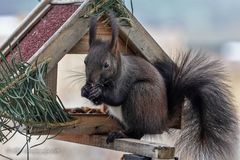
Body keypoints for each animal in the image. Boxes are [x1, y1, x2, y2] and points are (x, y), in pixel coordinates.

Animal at [81, 13, 238, 160]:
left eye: (106, 65)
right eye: (85, 61)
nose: (90, 82)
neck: (118, 70)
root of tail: (161, 121)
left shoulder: (124, 80)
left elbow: (116, 97)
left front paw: (98, 91)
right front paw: (85, 91)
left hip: (140, 95)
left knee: (138, 131)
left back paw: (120, 134)